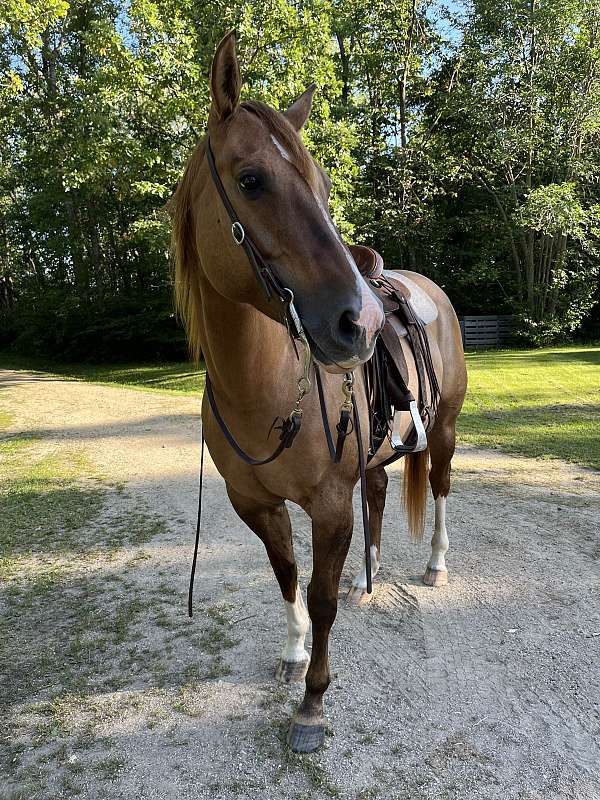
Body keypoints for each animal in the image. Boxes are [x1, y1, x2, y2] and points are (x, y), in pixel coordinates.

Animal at [171, 32, 467, 753]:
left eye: (323, 185)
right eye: (251, 179)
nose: (358, 323)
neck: (266, 392)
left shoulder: (330, 506)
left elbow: (321, 596)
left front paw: (312, 703)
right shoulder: (255, 504)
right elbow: (288, 577)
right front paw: (293, 654)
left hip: (444, 431)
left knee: (440, 489)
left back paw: (436, 565)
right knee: (382, 492)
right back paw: (370, 576)